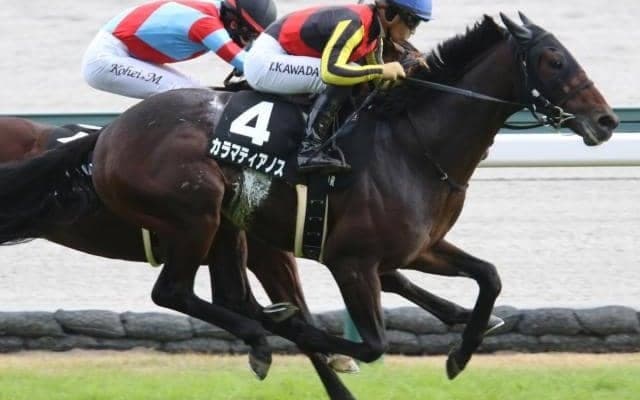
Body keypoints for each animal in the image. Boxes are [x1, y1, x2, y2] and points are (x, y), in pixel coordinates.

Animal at [0, 13, 618, 399]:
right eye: (554, 61)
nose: (608, 121)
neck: (412, 144)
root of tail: (108, 135)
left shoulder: (419, 247)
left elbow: (488, 276)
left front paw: (462, 349)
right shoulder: (348, 260)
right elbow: (367, 341)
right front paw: (315, 339)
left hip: (225, 228)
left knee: (224, 297)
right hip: (197, 215)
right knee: (173, 293)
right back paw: (262, 338)